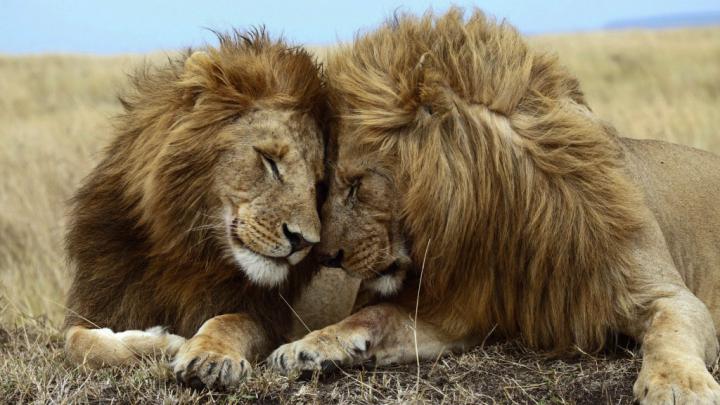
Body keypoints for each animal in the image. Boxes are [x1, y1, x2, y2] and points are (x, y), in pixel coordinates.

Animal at [64, 30, 330, 390]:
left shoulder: (268, 317)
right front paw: (162, 343)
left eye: (318, 183)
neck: (185, 250)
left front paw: (209, 358)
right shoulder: (101, 303)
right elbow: (77, 342)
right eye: (269, 160)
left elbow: (229, 321)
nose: (304, 241)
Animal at [268, 10, 720, 404]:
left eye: (357, 185)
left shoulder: (666, 294)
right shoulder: (458, 312)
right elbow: (375, 314)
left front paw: (677, 386)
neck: (504, 216)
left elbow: (669, 331)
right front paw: (307, 346)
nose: (326, 257)